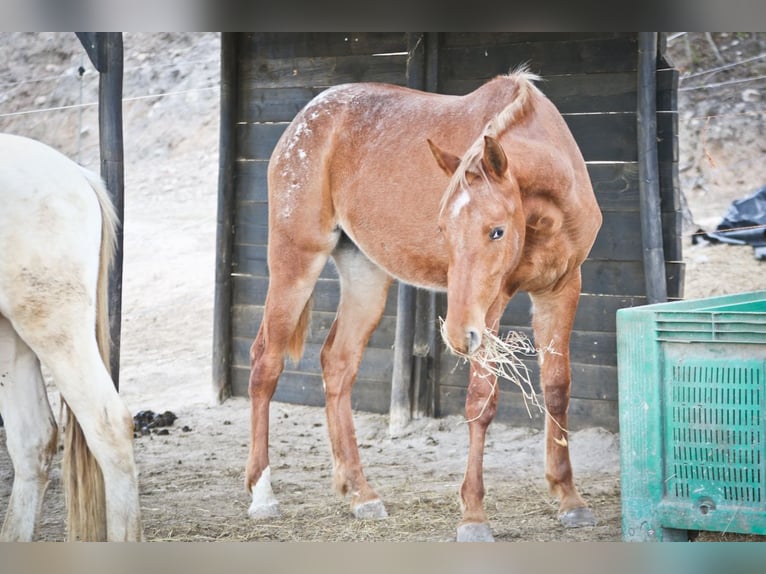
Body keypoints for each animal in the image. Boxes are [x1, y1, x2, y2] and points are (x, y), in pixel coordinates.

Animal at [249, 70, 604, 544]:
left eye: (496, 231)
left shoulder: (561, 289)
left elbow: (558, 389)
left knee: (337, 364)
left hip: (366, 275)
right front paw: (473, 515)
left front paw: (569, 497)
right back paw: (262, 495)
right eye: (443, 230)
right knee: (265, 363)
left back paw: (361, 493)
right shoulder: (489, 306)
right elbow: (480, 401)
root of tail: (305, 120)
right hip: (296, 260)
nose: (453, 335)